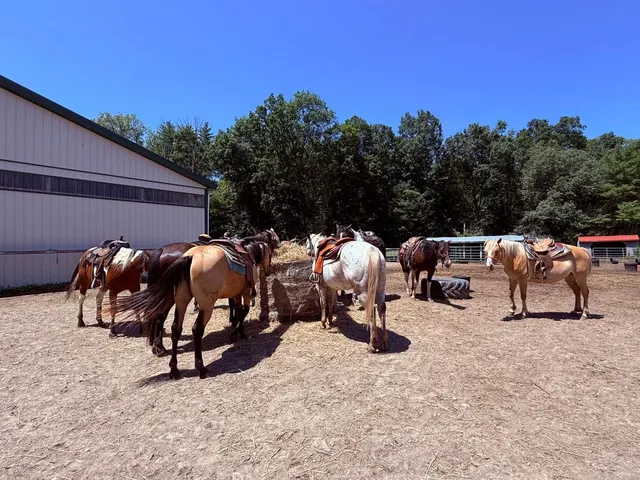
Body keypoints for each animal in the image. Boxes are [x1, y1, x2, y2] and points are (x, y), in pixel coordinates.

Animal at [111, 239, 273, 380]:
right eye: (270, 253)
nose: (269, 270)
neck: (249, 254)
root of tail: (189, 257)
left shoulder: (236, 293)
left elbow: (238, 311)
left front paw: (239, 332)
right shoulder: (246, 293)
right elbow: (243, 312)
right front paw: (238, 334)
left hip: (180, 300)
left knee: (175, 328)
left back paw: (173, 368)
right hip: (205, 306)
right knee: (195, 329)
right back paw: (200, 368)